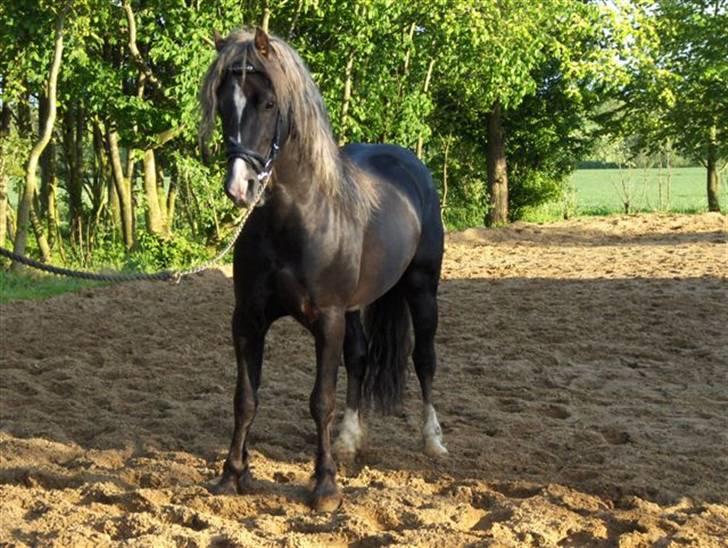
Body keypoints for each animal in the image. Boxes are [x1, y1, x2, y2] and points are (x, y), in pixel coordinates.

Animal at [200, 28, 447, 512]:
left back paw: (433, 440)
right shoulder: (249, 320)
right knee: (361, 358)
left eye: (268, 103)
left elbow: (321, 400)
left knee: (424, 359)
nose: (241, 187)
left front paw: (325, 486)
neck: (294, 220)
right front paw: (232, 474)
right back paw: (350, 440)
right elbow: (245, 398)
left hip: (422, 289)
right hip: (356, 309)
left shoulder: (327, 320)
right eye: (223, 102)